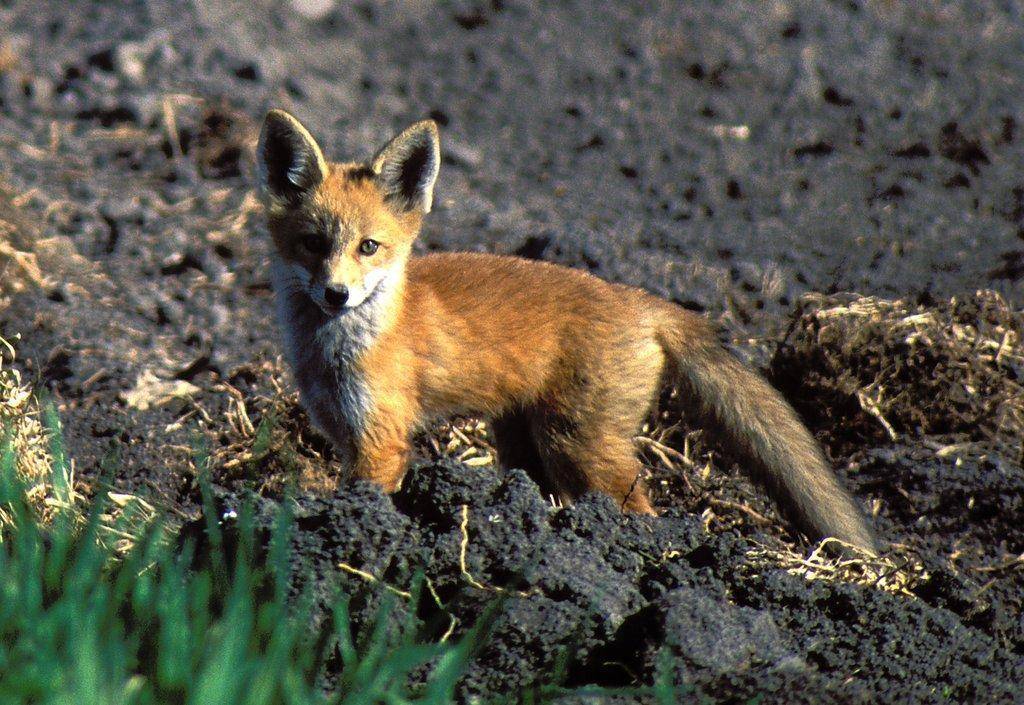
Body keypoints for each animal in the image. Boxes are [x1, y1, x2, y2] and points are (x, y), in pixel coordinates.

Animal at [258, 108, 880, 549]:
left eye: (369, 247)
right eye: (312, 244)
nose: (336, 294)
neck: (339, 352)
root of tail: (643, 300)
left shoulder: (380, 440)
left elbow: (367, 497)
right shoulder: (344, 431)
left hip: (579, 444)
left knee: (641, 508)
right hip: (523, 440)